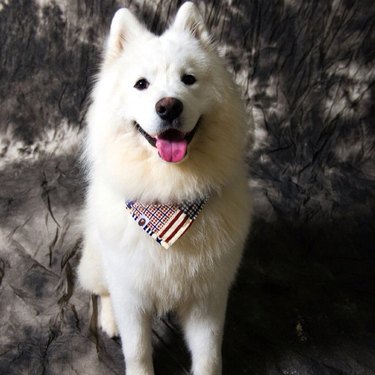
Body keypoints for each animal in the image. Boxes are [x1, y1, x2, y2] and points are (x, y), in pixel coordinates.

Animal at [77, 2, 251, 374]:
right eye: (141, 84)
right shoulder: (131, 294)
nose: (169, 105)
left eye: (189, 79)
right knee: (102, 292)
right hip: (99, 264)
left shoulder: (208, 298)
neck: (170, 193)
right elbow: (137, 350)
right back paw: (109, 321)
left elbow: (208, 355)